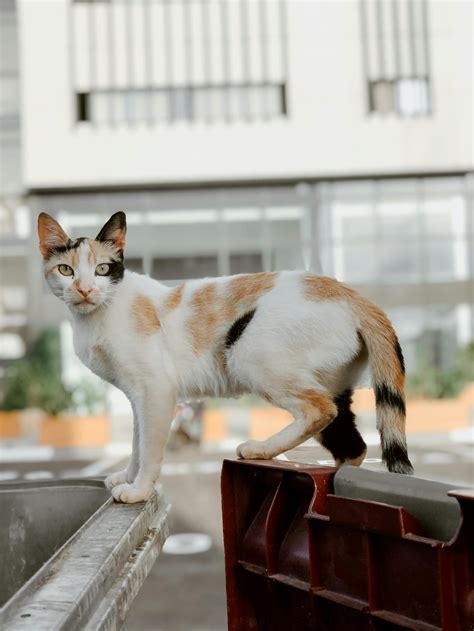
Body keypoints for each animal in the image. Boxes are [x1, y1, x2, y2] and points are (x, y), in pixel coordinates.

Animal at [38, 212, 414, 504]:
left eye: (102, 269)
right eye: (66, 271)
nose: (85, 289)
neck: (98, 315)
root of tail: (353, 295)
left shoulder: (156, 390)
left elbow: (149, 447)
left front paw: (140, 490)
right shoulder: (137, 396)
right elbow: (135, 443)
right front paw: (127, 476)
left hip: (250, 356)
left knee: (319, 409)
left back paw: (258, 449)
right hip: (331, 384)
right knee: (353, 445)